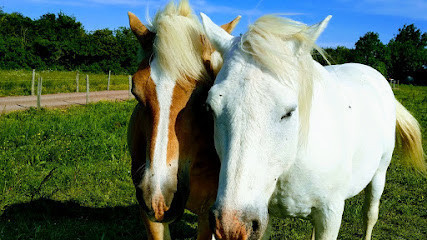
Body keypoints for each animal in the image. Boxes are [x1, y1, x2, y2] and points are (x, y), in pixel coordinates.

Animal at [201, 13, 427, 240]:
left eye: (289, 112)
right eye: (210, 109)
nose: (230, 226)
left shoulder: (331, 214)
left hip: (379, 172)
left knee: (370, 214)